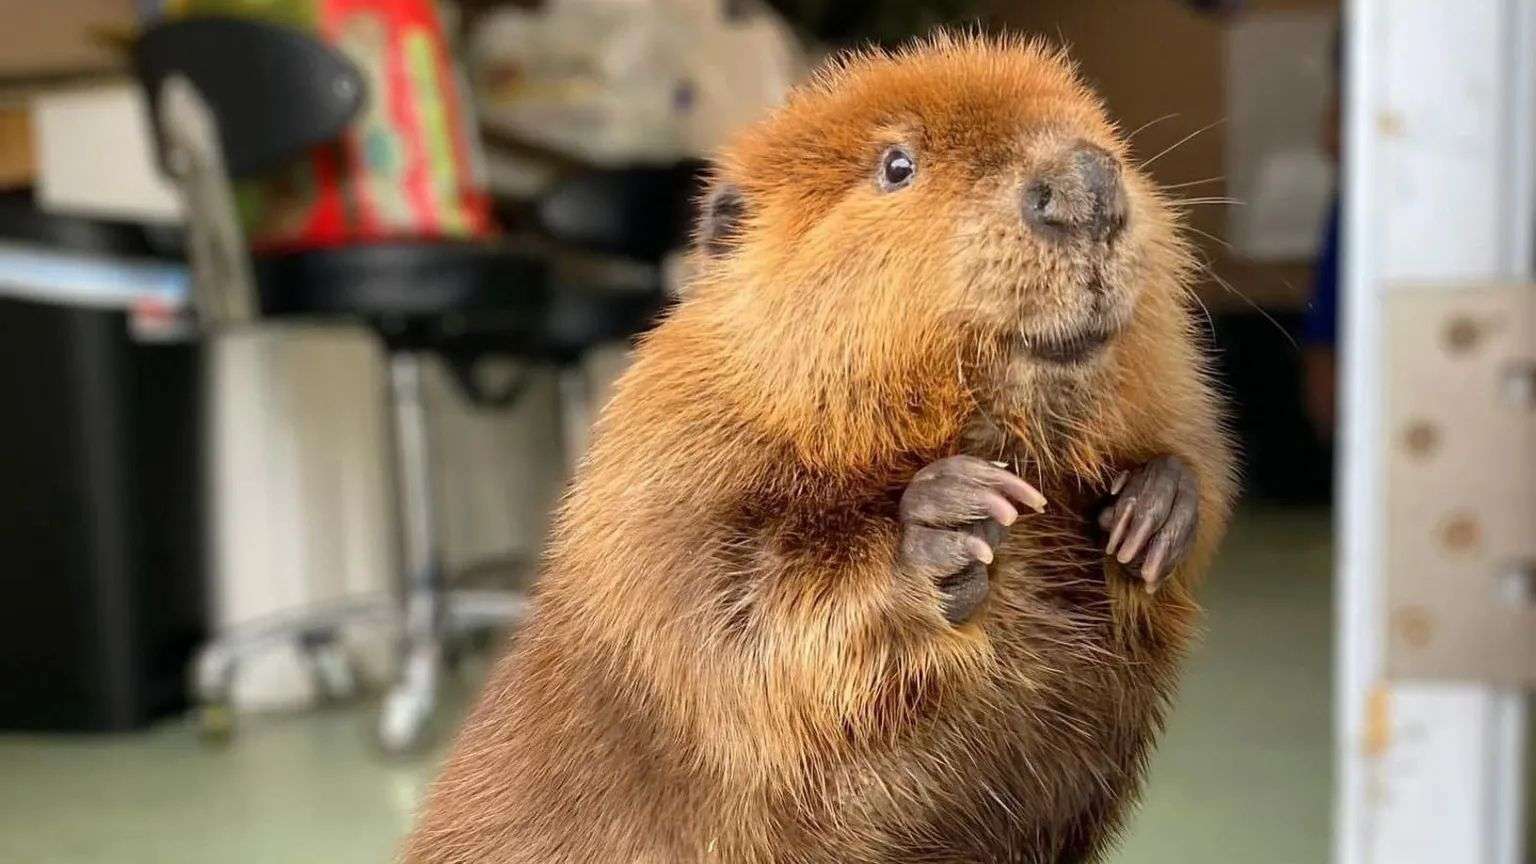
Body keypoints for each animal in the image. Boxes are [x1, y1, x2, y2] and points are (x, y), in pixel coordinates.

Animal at [405, 31, 1234, 860]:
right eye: (897, 165)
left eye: (1099, 128)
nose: (1086, 185)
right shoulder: (663, 476)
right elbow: (733, 626)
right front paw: (951, 518)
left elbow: (1188, 460)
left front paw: (1153, 509)